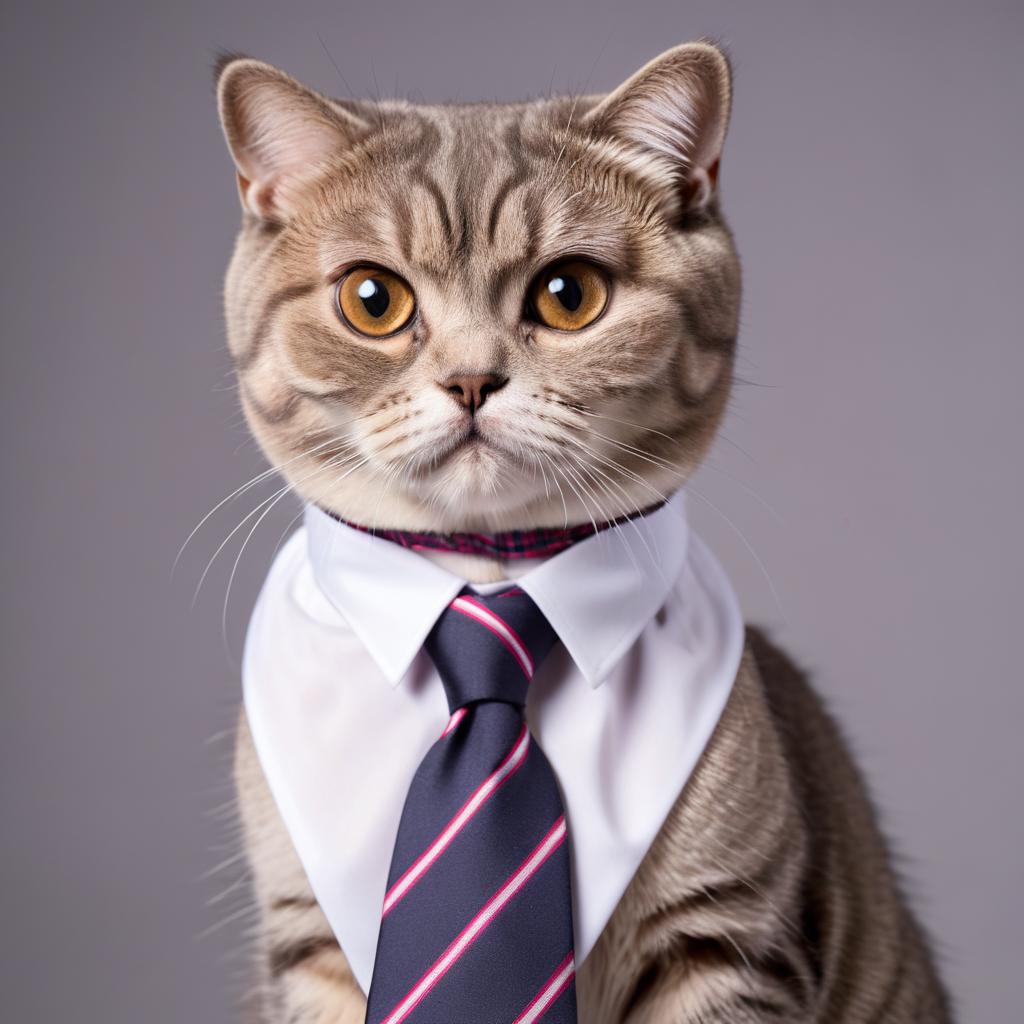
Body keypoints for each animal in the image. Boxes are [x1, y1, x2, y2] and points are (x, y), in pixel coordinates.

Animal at [214, 37, 950, 1015]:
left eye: (569, 294)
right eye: (372, 300)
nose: (471, 379)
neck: (488, 582)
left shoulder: (723, 940)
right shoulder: (307, 944)